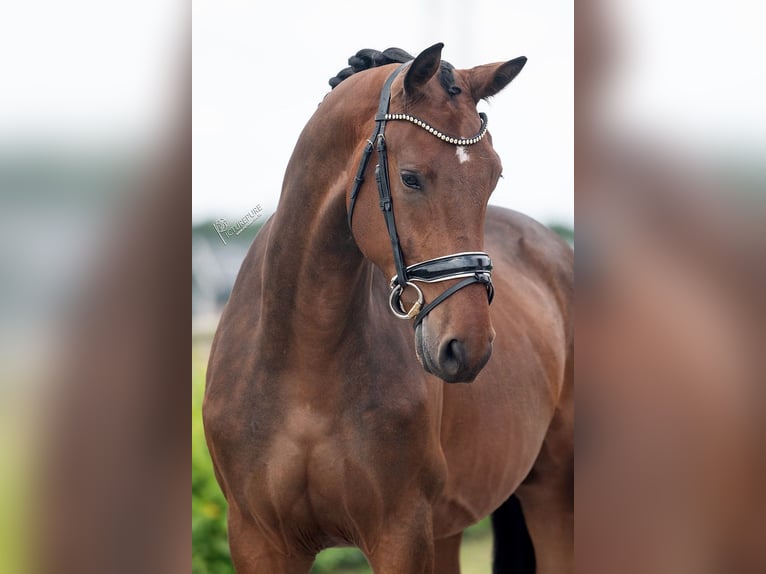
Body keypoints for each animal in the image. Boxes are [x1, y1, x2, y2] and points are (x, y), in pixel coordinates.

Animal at [206, 42, 576, 572]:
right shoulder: (257, 540)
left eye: (494, 176)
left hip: (554, 494)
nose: (468, 346)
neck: (303, 361)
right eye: (410, 178)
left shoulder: (401, 534)